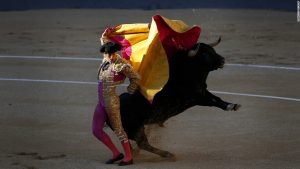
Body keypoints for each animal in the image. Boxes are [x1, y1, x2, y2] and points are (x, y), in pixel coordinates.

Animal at [109, 39, 240, 158]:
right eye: (205, 53)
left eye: (212, 50)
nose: (222, 60)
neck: (184, 75)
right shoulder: (197, 97)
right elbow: (213, 101)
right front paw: (230, 106)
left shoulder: (203, 91)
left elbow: (217, 98)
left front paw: (233, 105)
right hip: (136, 129)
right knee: (143, 144)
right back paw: (167, 154)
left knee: (131, 143)